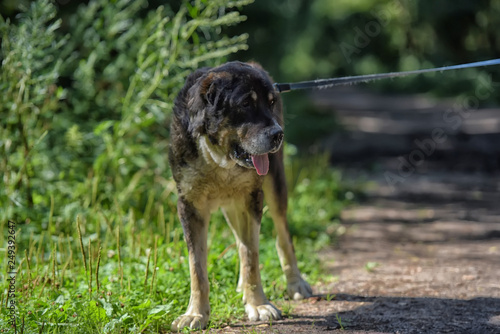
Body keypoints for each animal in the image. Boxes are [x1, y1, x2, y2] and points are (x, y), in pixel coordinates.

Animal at [168, 61, 312, 330]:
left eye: (271, 102)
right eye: (246, 103)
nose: (278, 134)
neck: (220, 161)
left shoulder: (252, 199)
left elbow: (251, 255)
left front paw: (258, 305)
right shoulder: (189, 206)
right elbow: (196, 266)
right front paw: (195, 313)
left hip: (275, 185)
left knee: (283, 236)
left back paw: (295, 282)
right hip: (232, 205)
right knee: (239, 239)